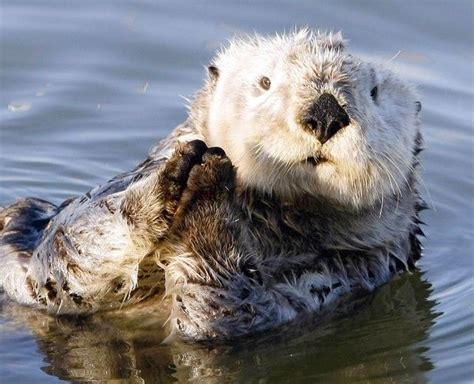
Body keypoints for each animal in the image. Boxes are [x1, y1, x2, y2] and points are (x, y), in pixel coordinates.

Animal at [0, 30, 422, 342]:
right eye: (265, 82)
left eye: (375, 93)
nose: (325, 112)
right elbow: (66, 255)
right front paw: (172, 179)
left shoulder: (338, 278)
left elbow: (227, 313)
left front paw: (208, 188)